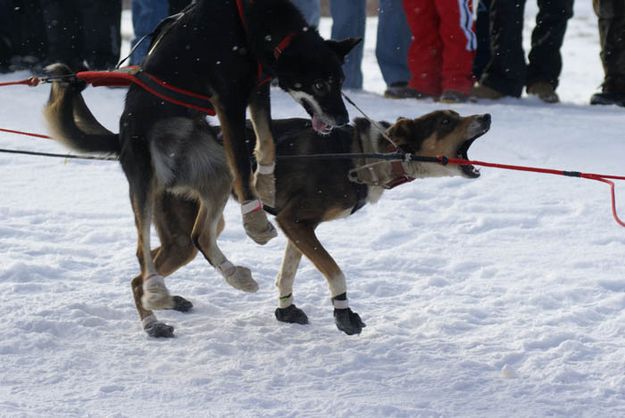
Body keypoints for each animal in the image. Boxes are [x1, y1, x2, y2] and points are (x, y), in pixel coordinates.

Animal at [42, 0, 356, 330]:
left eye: (340, 82)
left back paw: (236, 277)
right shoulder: (229, 99)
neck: (250, 21)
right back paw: (156, 292)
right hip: (143, 180)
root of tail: (120, 137)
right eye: (319, 84)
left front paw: (265, 184)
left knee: (200, 236)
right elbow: (242, 163)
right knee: (143, 249)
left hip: (215, 174)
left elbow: (267, 142)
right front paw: (254, 217)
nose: (343, 119)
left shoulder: (257, 89)